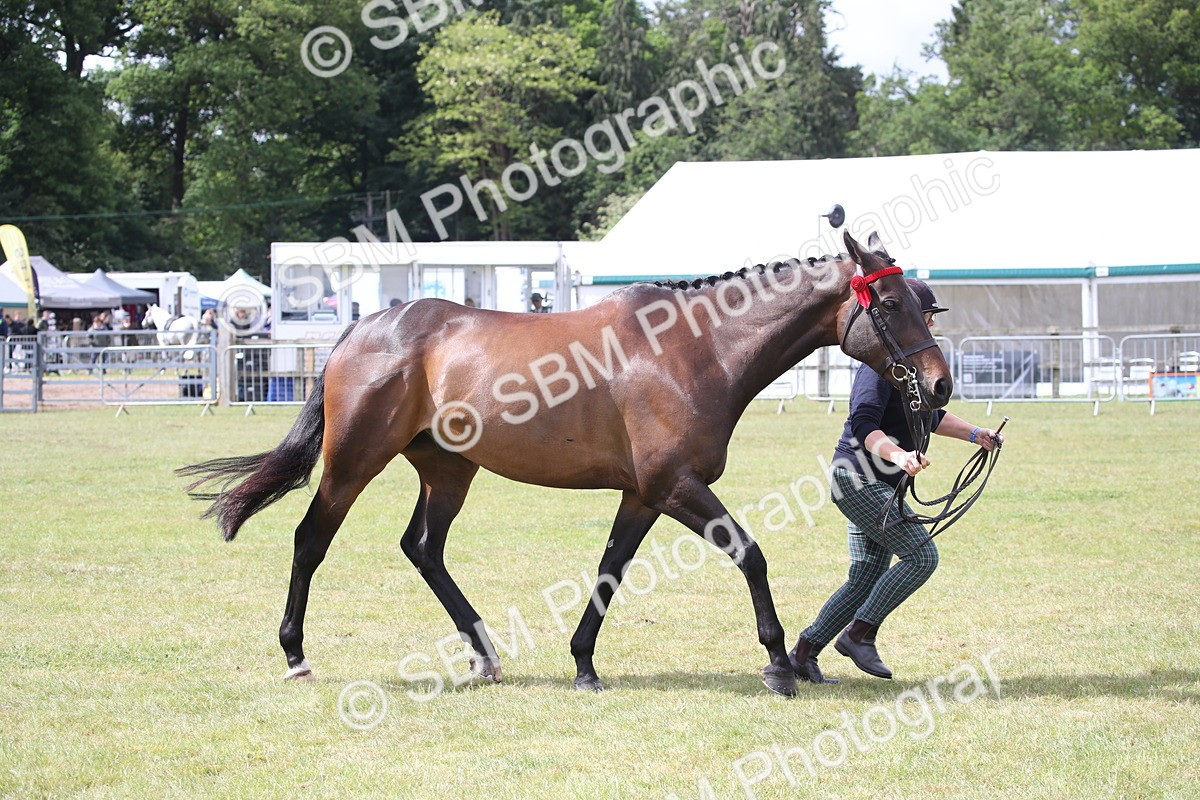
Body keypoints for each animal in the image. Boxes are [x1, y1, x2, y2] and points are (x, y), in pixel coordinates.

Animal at [178, 230, 952, 697]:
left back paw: (484, 653)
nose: (941, 386)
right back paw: (295, 653)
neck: (695, 348)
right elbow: (751, 555)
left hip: (448, 471)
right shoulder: (676, 486)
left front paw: (583, 664)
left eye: (922, 302)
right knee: (311, 539)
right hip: (353, 462)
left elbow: (611, 570)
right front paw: (778, 664)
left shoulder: (644, 494)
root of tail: (366, 326)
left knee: (423, 548)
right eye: (889, 303)